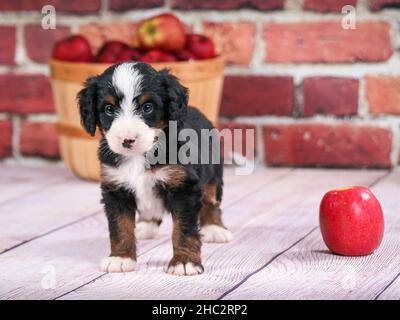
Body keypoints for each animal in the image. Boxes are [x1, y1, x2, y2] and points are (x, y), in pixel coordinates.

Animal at [77, 62, 231, 276]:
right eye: (108, 109)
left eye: (147, 107)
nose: (127, 140)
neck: (141, 155)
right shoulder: (115, 188)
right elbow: (120, 226)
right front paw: (121, 258)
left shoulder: (183, 187)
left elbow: (184, 229)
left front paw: (184, 261)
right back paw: (145, 225)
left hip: (213, 173)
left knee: (211, 200)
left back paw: (214, 229)